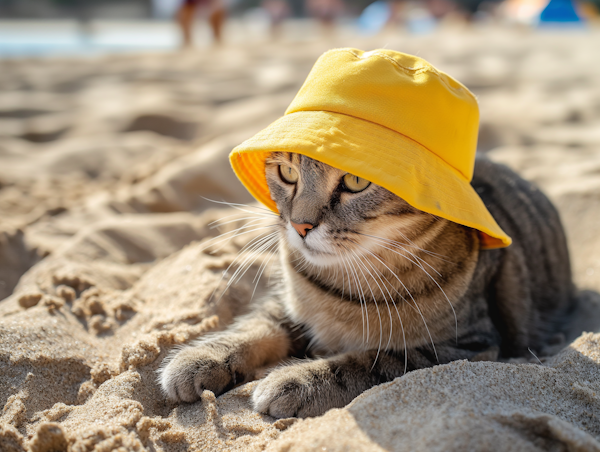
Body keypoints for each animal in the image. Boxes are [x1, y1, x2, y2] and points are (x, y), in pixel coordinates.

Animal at [159, 153, 576, 420]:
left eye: (356, 181)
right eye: (288, 173)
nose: (300, 225)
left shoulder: (468, 344)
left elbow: (372, 359)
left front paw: (297, 379)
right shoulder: (286, 304)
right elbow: (254, 326)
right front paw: (203, 356)